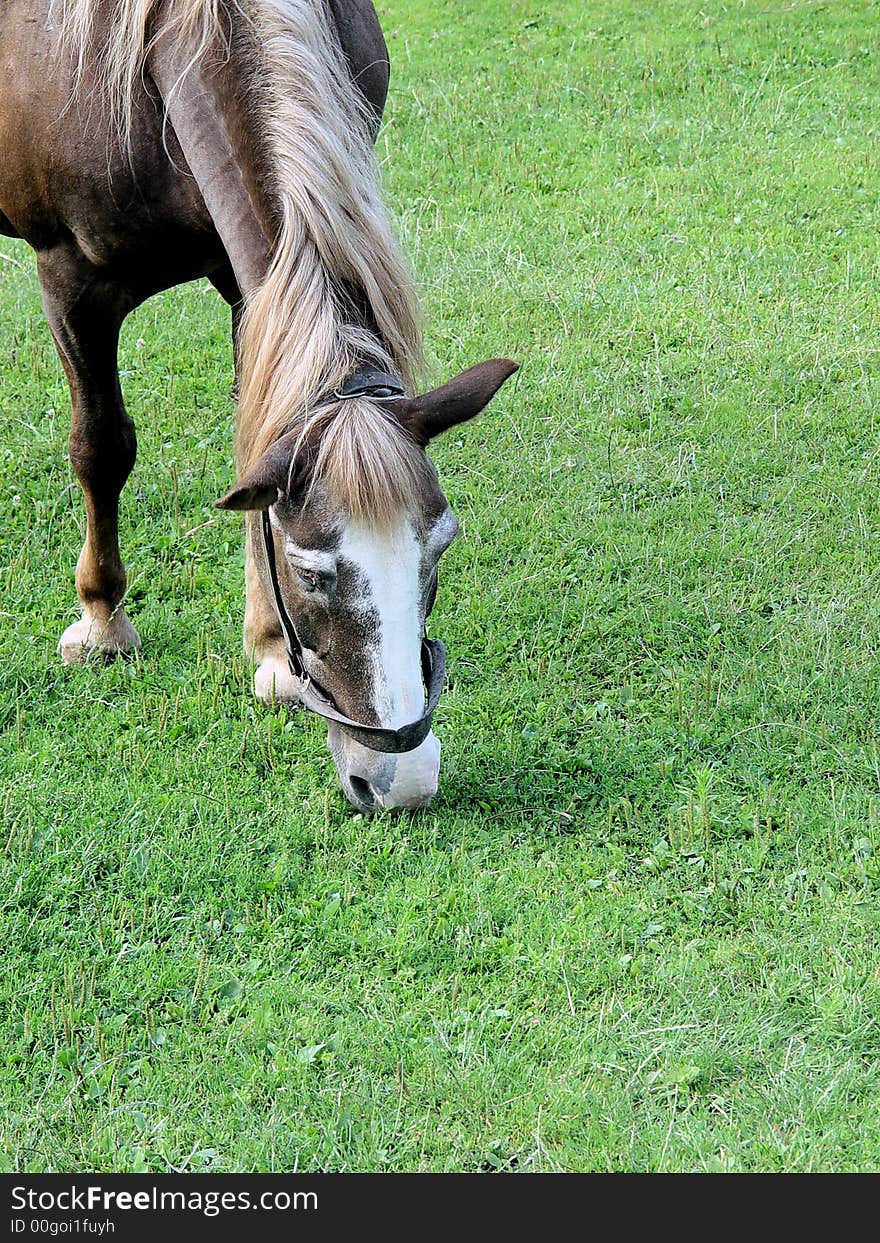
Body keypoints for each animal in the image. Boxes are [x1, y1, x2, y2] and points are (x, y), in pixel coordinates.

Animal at [0, 0, 514, 810]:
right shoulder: (70, 282)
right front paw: (103, 618)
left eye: (440, 546)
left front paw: (271, 651)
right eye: (311, 573)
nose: (399, 782)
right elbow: (100, 448)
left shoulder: (246, 279)